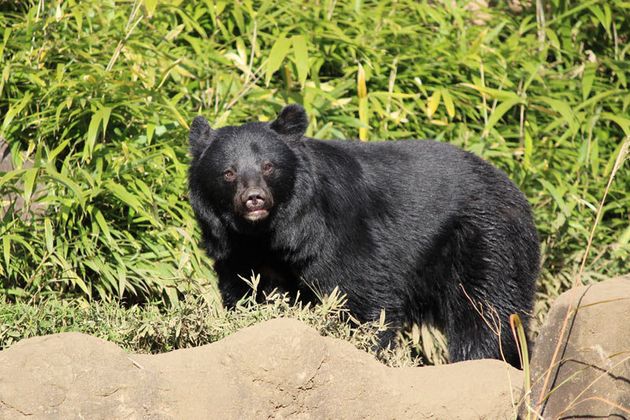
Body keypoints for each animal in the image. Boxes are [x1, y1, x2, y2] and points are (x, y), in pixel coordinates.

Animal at [190, 103, 540, 366]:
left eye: (268, 166)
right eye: (228, 172)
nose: (254, 199)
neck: (269, 233)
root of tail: (516, 191)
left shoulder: (337, 234)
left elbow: (362, 296)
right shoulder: (237, 253)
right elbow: (247, 294)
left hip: (485, 241)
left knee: (487, 311)